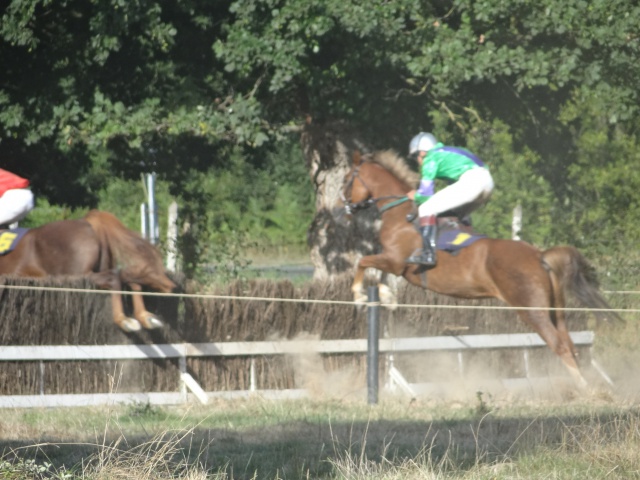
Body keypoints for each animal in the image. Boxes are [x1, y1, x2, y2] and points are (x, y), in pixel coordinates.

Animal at [0, 208, 175, 332]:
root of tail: (88, 221)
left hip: (77, 275)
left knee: (115, 276)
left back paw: (123, 319)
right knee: (127, 276)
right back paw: (145, 317)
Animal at [342, 150, 624, 390]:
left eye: (346, 180)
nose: (342, 207)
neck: (401, 215)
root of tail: (539, 255)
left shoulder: (395, 261)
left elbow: (363, 262)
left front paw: (359, 296)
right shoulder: (394, 264)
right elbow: (376, 271)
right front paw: (387, 297)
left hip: (532, 311)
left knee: (559, 345)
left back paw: (583, 387)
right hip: (556, 311)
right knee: (569, 343)